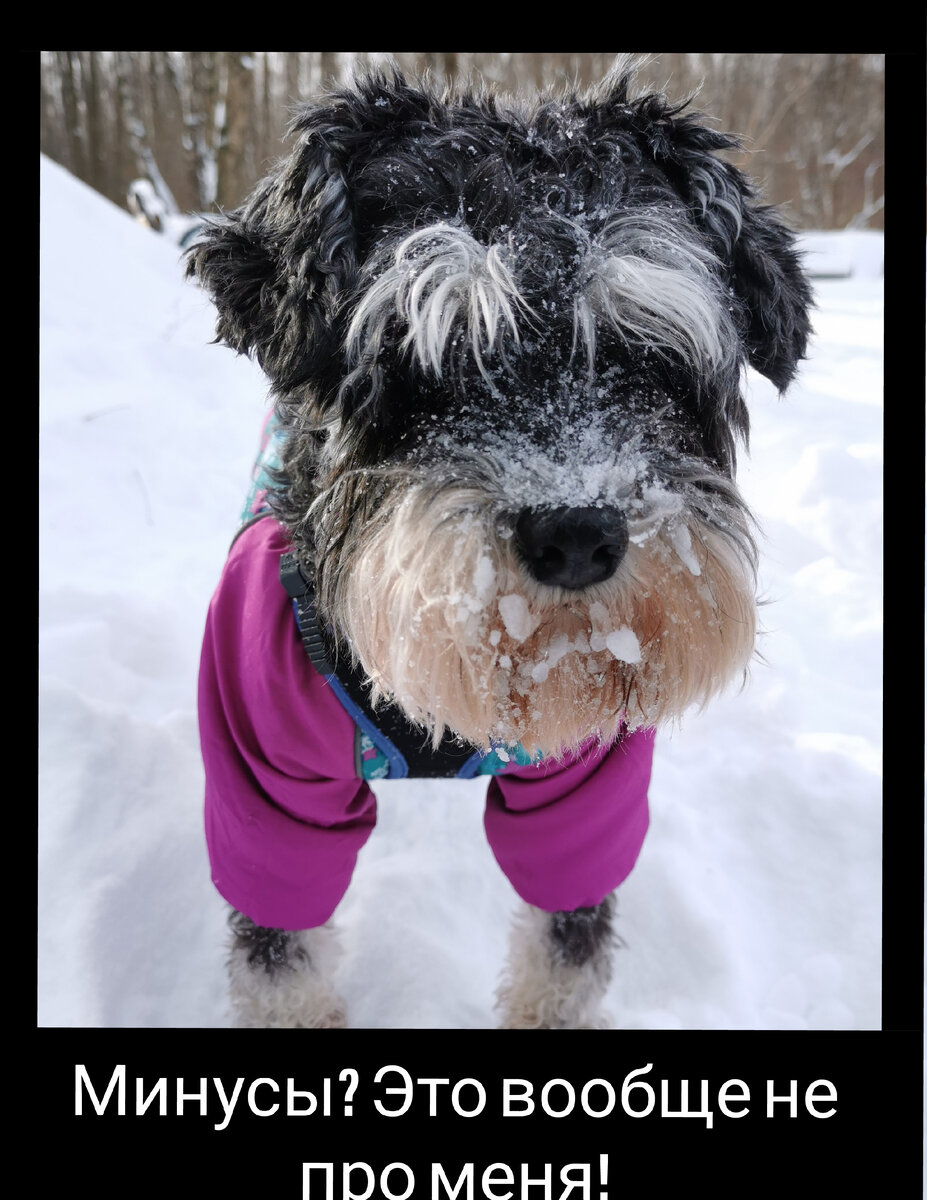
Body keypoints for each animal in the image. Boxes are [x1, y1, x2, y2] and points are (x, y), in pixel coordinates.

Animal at [188, 60, 811, 1027]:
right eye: (419, 357)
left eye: (649, 358)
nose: (576, 534)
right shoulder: (265, 788)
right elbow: (279, 955)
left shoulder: (585, 790)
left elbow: (564, 942)